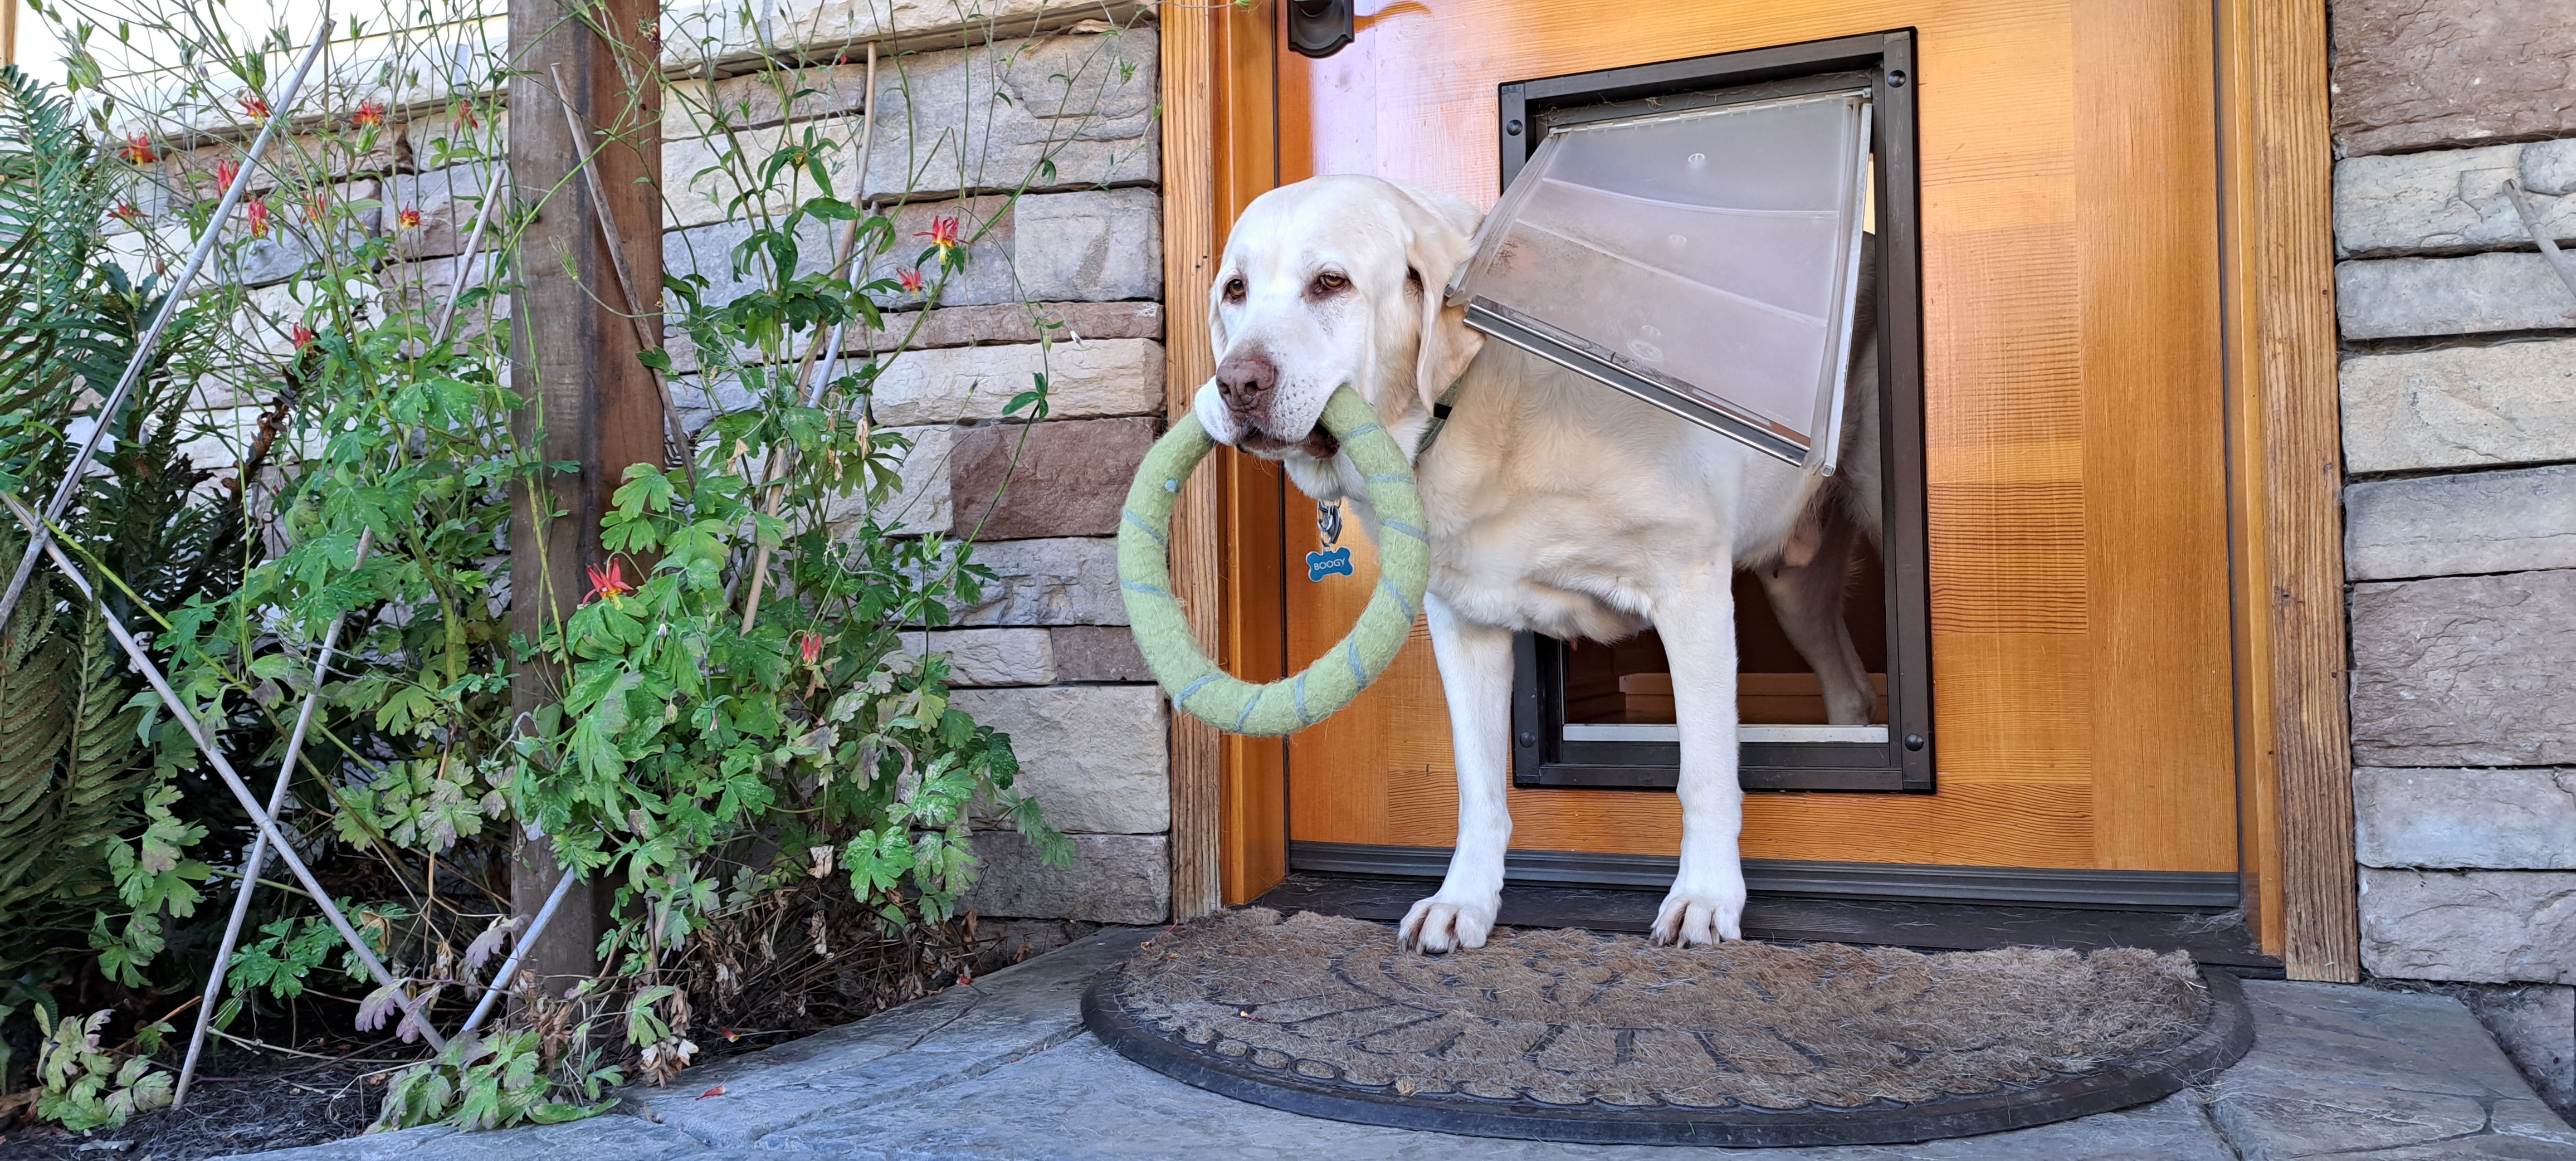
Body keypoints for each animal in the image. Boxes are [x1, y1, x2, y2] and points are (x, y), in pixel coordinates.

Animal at [1185, 175, 1875, 952]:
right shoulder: (1462, 623)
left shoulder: (1690, 584)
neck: (1472, 407)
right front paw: (1463, 901)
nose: (1236, 383)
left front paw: (1704, 896)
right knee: (1848, 686)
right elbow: (1478, 784)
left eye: (1330, 282)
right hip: (1796, 592)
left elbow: (1702, 770)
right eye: (1235, 290)